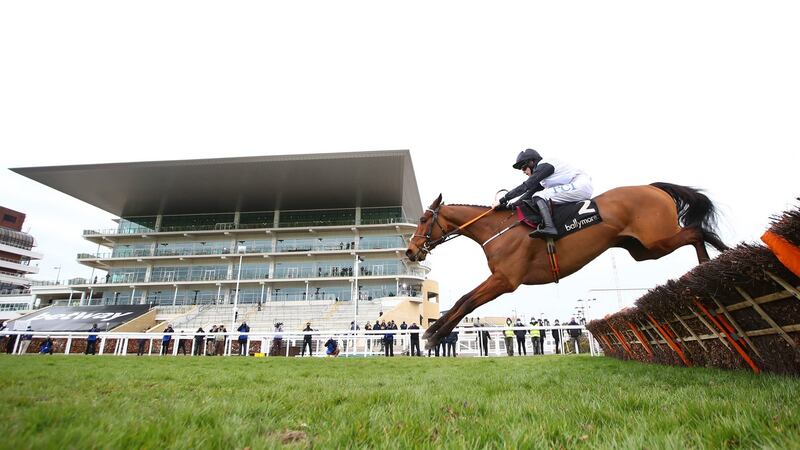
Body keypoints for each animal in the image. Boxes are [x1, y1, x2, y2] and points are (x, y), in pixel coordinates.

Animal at [410, 183, 728, 348]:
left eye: (424, 219)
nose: (412, 251)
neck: (497, 228)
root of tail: (653, 187)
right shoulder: (501, 279)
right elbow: (462, 301)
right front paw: (432, 333)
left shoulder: (505, 279)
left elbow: (466, 302)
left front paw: (431, 336)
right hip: (643, 250)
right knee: (695, 233)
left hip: (656, 240)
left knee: (696, 232)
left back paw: (711, 263)